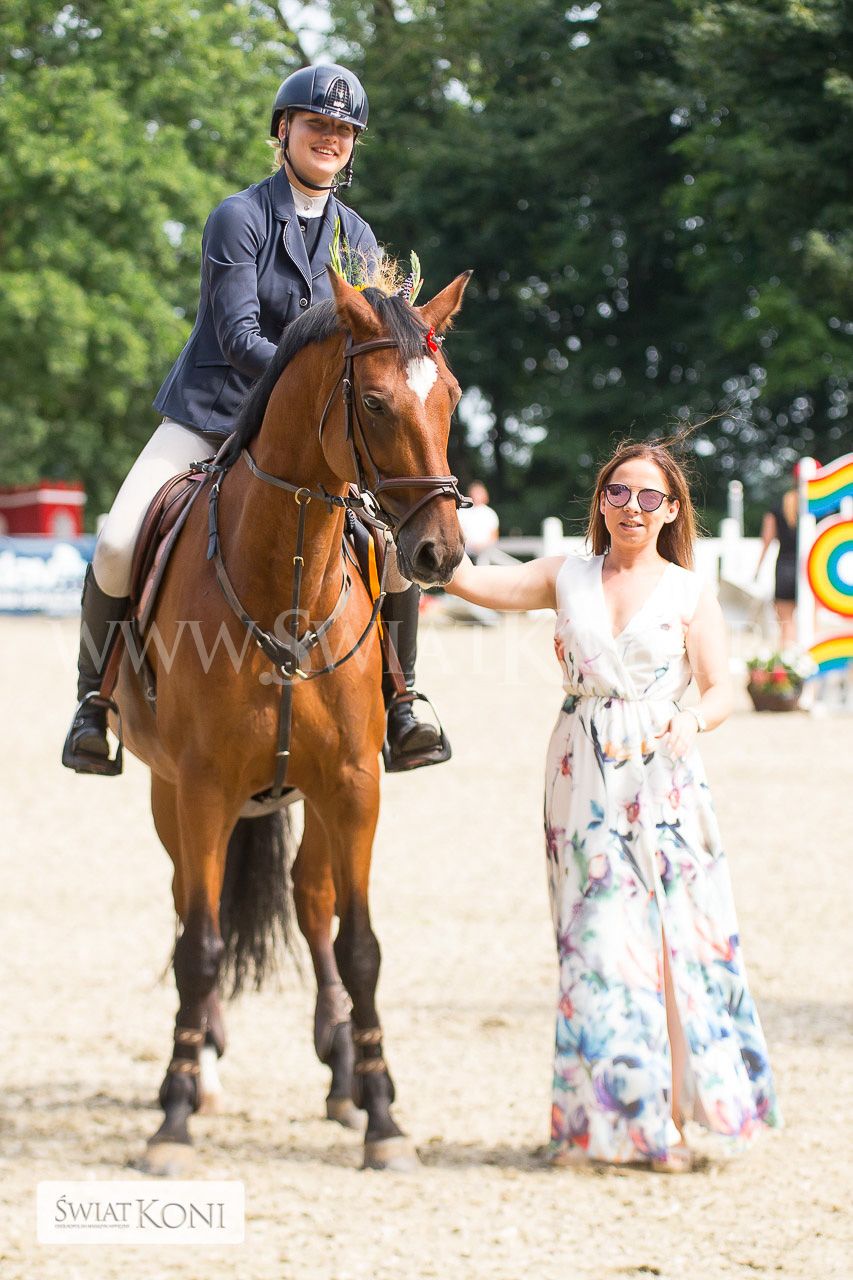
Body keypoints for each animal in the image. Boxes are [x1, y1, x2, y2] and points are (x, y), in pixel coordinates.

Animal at [114, 268, 470, 1173]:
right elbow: (200, 947)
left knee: (311, 902)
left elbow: (359, 944)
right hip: (168, 794)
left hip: (309, 795)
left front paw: (381, 1115)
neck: (288, 585)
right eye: (373, 403)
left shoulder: (352, 785)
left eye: (451, 397)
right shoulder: (203, 788)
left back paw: (342, 1072)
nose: (440, 554)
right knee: (188, 906)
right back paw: (199, 1068)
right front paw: (174, 1115)